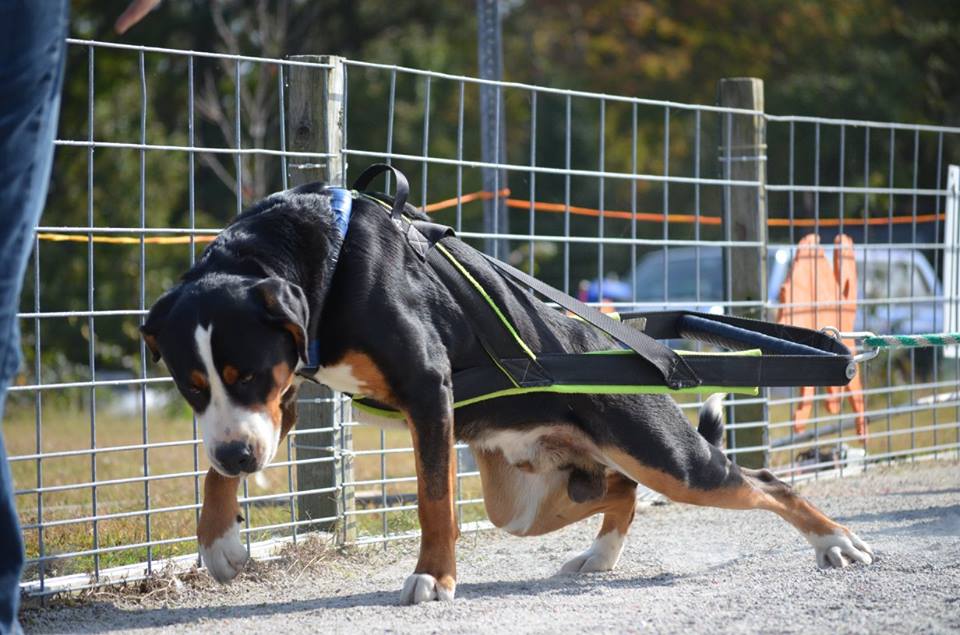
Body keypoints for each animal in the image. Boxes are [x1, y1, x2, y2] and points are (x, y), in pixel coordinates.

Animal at [144, 171, 876, 604]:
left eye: (247, 373)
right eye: (192, 388)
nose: (241, 458)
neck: (317, 256)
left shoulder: (422, 389)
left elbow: (433, 501)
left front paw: (434, 577)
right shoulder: (284, 398)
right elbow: (210, 474)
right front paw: (218, 539)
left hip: (670, 458)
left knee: (763, 482)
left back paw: (835, 542)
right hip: (524, 500)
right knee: (615, 490)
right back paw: (600, 554)